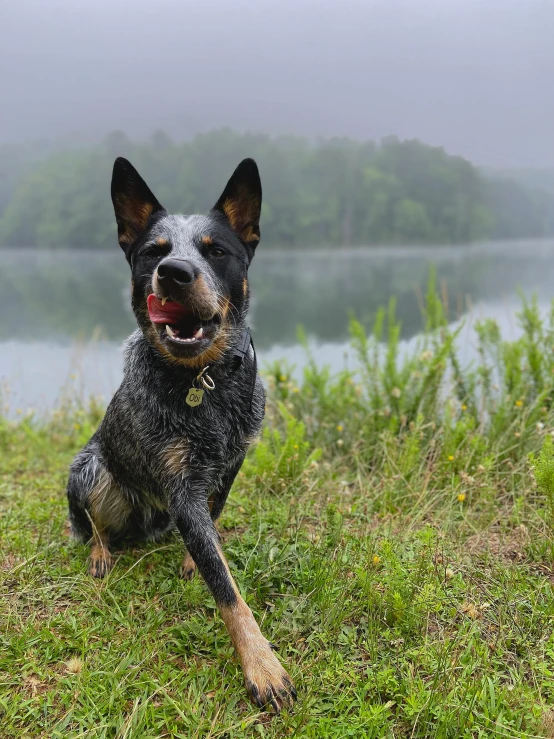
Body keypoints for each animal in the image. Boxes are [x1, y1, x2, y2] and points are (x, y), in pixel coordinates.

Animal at [67, 156, 296, 712]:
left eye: (216, 251)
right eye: (154, 251)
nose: (174, 272)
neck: (203, 382)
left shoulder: (230, 464)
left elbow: (213, 529)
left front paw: (197, 560)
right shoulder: (180, 484)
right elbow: (228, 592)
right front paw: (262, 666)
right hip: (89, 468)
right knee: (93, 524)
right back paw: (100, 553)